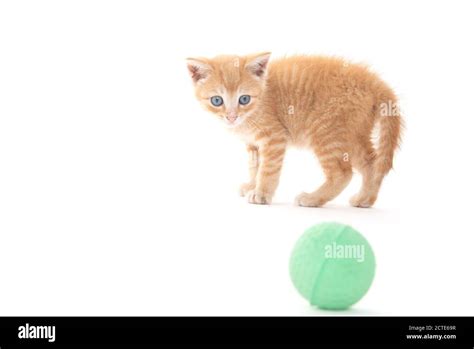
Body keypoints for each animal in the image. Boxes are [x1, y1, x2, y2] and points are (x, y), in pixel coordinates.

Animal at [187, 52, 402, 207]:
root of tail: (374, 82)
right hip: (354, 134)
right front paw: (252, 185)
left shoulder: (274, 136)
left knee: (342, 173)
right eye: (217, 101)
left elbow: (267, 168)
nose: (231, 117)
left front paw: (261, 193)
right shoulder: (253, 144)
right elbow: (255, 166)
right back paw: (364, 199)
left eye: (244, 99)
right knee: (371, 163)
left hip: (325, 131)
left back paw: (312, 199)